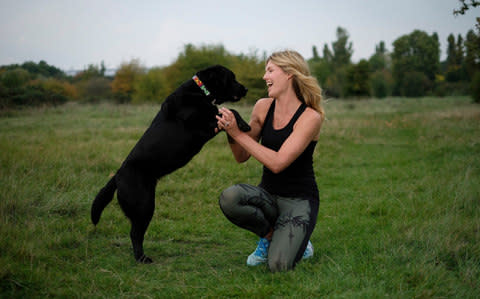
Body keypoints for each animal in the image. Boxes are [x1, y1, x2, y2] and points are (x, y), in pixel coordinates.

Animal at [90, 65, 249, 262]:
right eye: (231, 78)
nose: (245, 89)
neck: (200, 91)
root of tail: (117, 175)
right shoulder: (204, 125)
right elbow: (231, 111)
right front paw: (244, 125)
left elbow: (228, 111)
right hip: (144, 206)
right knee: (135, 234)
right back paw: (142, 258)